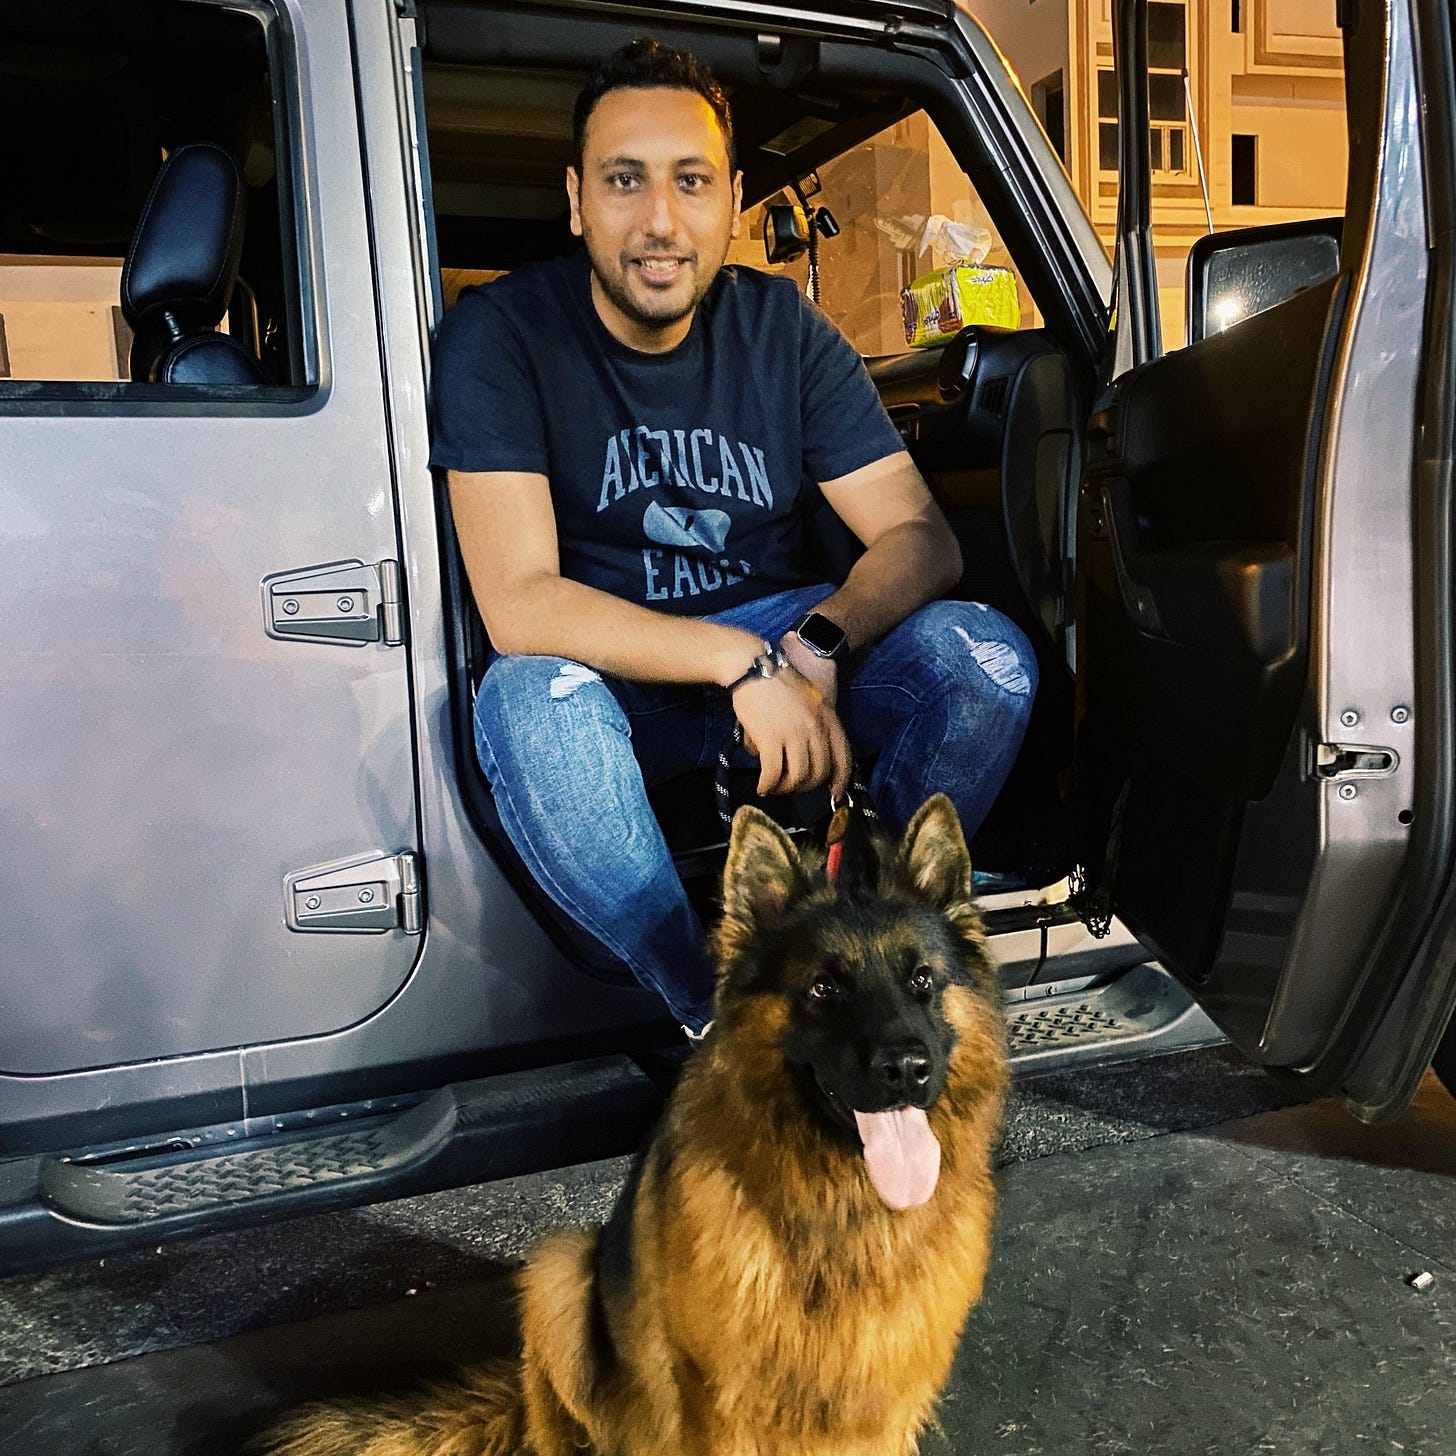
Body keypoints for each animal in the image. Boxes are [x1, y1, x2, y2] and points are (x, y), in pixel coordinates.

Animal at [255, 793, 1007, 1456]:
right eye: (824, 989)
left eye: (922, 980)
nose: (906, 1068)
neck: (839, 1217)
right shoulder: (715, 1400)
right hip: (561, 1274)